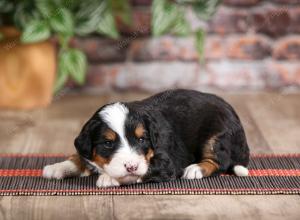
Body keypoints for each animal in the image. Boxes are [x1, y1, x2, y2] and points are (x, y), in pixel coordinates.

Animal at [43, 89, 250, 187]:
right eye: (108, 143)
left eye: (142, 140)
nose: (131, 165)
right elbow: (80, 156)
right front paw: (57, 167)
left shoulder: (166, 161)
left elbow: (142, 171)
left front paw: (109, 178)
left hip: (216, 137)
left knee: (219, 162)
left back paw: (196, 169)